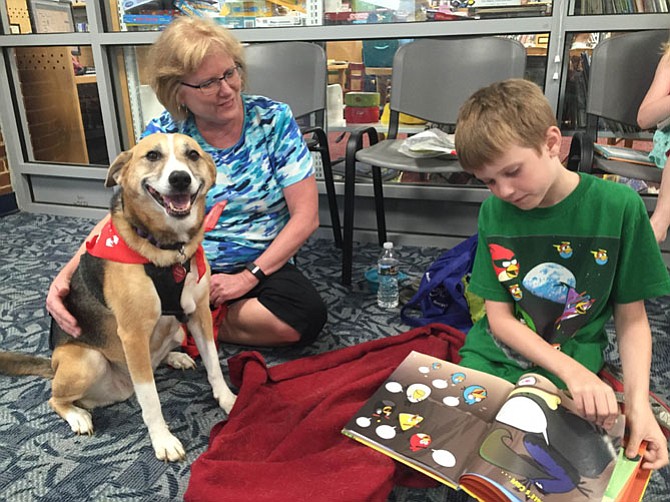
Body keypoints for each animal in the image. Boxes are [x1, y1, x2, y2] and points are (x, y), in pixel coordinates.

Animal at [0, 131, 236, 460]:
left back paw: (174, 356)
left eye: (192, 155)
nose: (180, 179)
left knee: (158, 355)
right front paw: (163, 440)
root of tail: (53, 365)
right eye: (152, 156)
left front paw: (228, 400)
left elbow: (214, 364)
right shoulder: (133, 334)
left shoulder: (199, 314)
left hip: (176, 331)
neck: (167, 250)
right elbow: (151, 400)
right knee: (55, 399)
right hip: (88, 361)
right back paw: (77, 416)